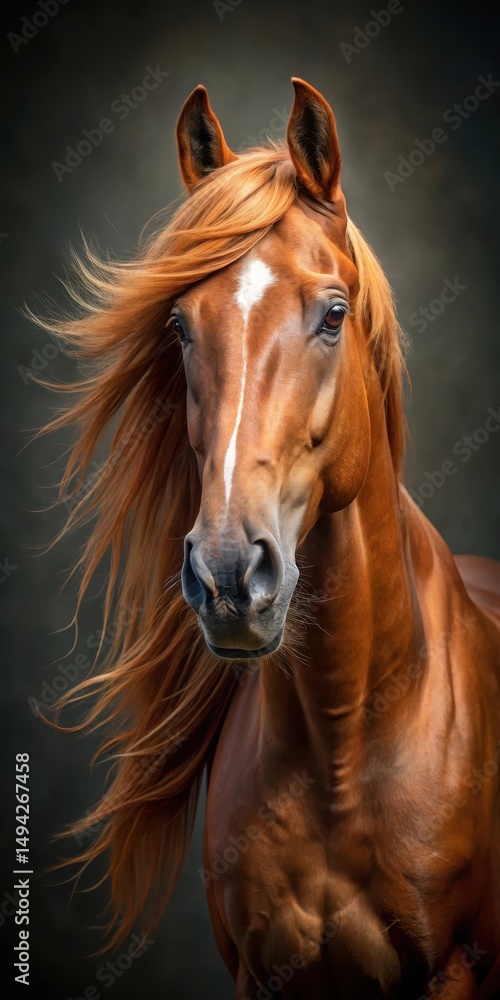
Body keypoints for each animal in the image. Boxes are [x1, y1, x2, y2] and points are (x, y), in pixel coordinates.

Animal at [44, 79, 500, 998]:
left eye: (333, 315)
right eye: (179, 326)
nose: (227, 575)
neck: (343, 739)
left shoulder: (455, 973)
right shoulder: (263, 975)